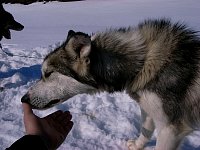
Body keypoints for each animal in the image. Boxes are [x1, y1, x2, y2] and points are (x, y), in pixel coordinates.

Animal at [21, 19, 200, 150]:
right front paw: (137, 146)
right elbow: (145, 130)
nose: (24, 99)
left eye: (48, 74)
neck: (142, 63)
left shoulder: (171, 129)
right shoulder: (148, 109)